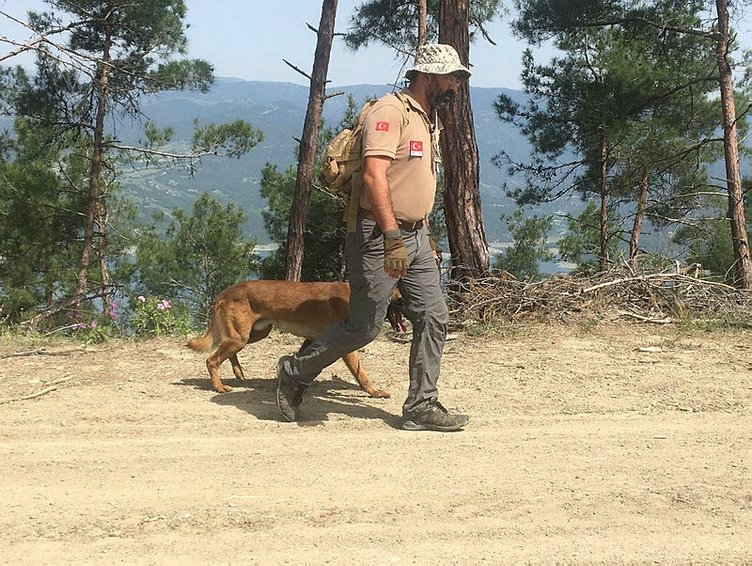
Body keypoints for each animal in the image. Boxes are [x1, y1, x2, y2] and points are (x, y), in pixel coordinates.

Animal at [187, 280, 400, 400]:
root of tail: (226, 291)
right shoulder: (346, 346)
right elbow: (361, 373)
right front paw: (374, 391)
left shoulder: (311, 340)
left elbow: (301, 360)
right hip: (240, 338)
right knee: (212, 360)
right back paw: (219, 386)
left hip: (251, 335)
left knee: (227, 352)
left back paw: (238, 372)